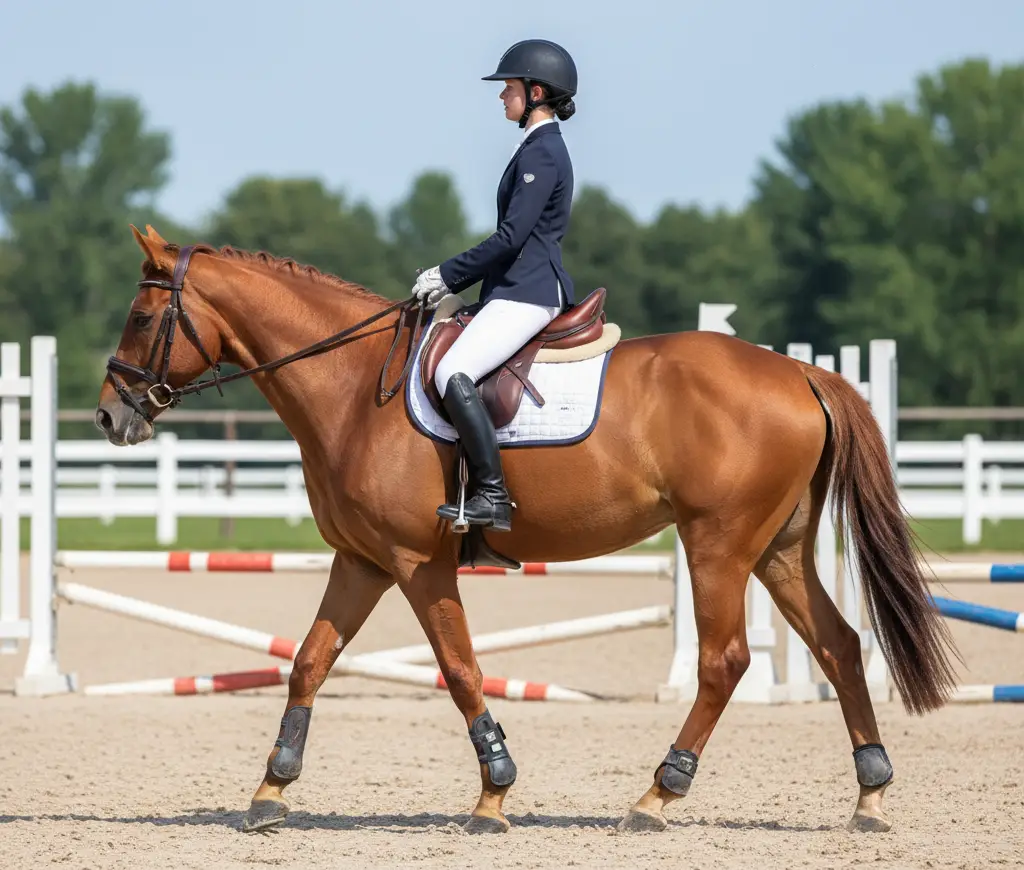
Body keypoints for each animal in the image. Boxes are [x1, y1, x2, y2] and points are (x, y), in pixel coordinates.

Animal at [94, 224, 959, 836]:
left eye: (140, 316)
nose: (109, 416)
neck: (352, 388)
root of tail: (801, 371)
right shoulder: (361, 561)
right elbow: (308, 663)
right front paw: (271, 788)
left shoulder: (417, 562)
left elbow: (459, 669)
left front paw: (493, 795)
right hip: (777, 548)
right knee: (839, 645)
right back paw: (870, 797)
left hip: (718, 543)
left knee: (724, 662)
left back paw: (656, 796)